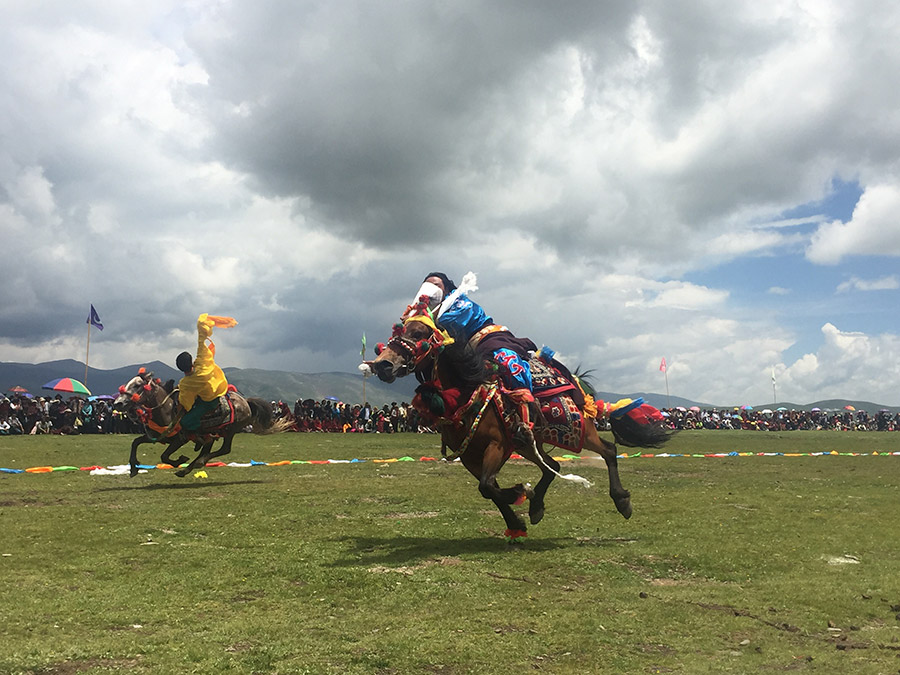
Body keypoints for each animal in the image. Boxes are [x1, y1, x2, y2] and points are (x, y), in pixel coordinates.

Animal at [112, 372, 288, 478]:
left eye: (137, 385)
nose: (117, 403)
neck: (167, 409)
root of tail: (245, 402)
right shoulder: (159, 437)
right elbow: (135, 442)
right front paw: (133, 468)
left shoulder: (179, 439)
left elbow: (164, 456)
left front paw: (179, 460)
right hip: (211, 434)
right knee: (208, 449)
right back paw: (189, 468)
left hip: (230, 430)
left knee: (224, 449)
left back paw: (195, 464)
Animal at [362, 312, 672, 544]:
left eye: (418, 333)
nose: (382, 365)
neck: (465, 391)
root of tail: (575, 381)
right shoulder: (470, 455)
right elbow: (488, 488)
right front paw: (518, 517)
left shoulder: (497, 446)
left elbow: (487, 485)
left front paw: (520, 493)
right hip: (528, 442)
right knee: (553, 466)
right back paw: (536, 508)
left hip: (579, 432)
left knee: (607, 450)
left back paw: (622, 501)